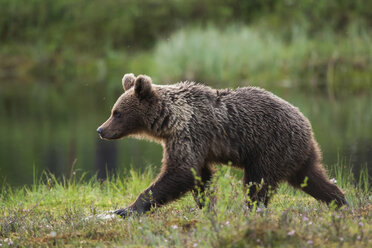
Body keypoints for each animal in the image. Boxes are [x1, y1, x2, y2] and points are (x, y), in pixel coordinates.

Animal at [97, 73, 348, 217]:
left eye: (116, 113)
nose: (101, 130)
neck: (169, 120)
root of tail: (306, 123)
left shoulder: (190, 132)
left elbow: (180, 172)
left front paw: (127, 209)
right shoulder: (193, 142)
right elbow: (200, 176)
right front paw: (207, 207)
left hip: (270, 147)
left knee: (257, 183)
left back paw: (251, 210)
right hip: (296, 154)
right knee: (313, 178)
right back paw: (340, 201)